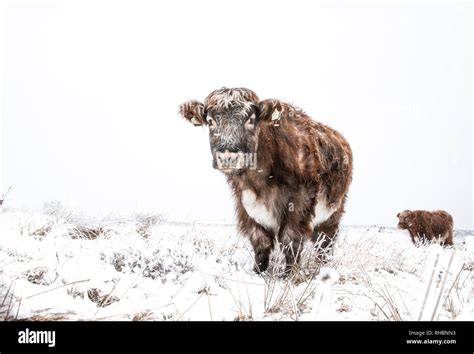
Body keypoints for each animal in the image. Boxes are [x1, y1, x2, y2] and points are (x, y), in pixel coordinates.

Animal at [180, 87, 354, 272]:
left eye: (250, 120)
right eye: (211, 121)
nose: (228, 156)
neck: (261, 181)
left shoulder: (301, 201)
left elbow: (290, 240)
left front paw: (290, 274)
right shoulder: (246, 204)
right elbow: (260, 242)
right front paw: (258, 272)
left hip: (333, 212)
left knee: (325, 243)